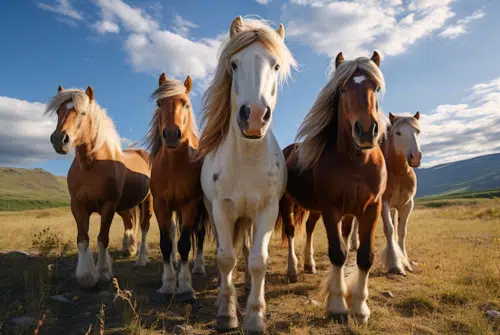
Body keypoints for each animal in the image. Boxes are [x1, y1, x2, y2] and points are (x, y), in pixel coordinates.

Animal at [46, 85, 152, 288]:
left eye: (83, 112)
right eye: (58, 111)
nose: (59, 139)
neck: (91, 165)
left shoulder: (108, 206)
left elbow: (103, 239)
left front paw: (102, 272)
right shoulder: (78, 206)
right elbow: (82, 239)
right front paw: (86, 276)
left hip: (146, 202)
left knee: (144, 226)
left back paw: (142, 258)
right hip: (124, 206)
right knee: (129, 221)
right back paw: (129, 248)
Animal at [145, 73, 207, 302]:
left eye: (186, 104)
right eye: (159, 103)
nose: (172, 134)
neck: (173, 166)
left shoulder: (190, 205)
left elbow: (185, 243)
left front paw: (186, 286)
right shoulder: (161, 204)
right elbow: (166, 242)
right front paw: (168, 283)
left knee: (199, 234)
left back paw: (198, 267)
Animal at [196, 16, 296, 335]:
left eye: (275, 65)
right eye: (234, 64)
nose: (253, 116)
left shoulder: (267, 211)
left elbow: (258, 260)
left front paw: (255, 317)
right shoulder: (221, 210)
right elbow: (226, 258)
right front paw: (226, 313)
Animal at [278, 51, 386, 324]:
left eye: (376, 88)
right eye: (343, 89)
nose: (366, 131)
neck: (356, 161)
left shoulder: (370, 209)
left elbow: (364, 256)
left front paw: (360, 307)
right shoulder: (331, 209)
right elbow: (337, 252)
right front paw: (337, 306)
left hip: (316, 210)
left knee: (308, 228)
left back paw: (309, 265)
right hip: (286, 203)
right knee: (291, 231)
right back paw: (293, 270)